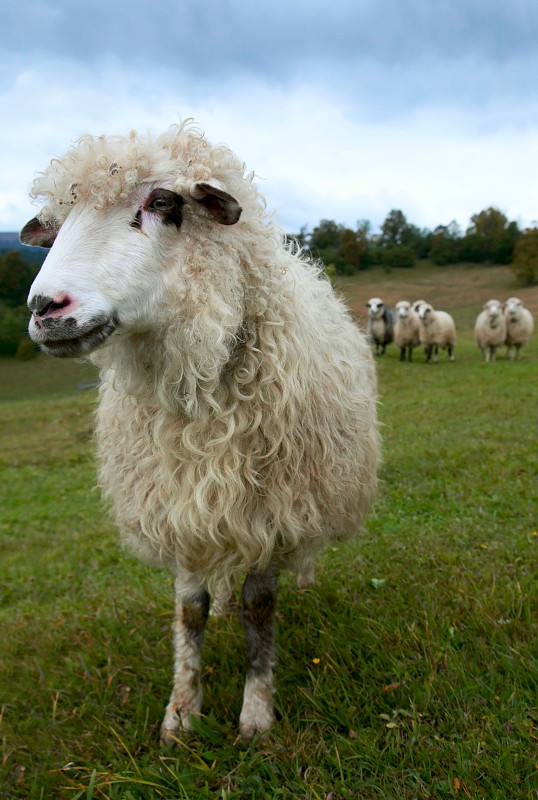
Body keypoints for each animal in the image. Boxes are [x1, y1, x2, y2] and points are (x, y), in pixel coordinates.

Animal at [22, 123, 382, 744]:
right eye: (58, 221)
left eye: (164, 202)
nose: (46, 308)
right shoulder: (179, 500)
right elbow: (190, 611)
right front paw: (181, 714)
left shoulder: (272, 508)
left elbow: (260, 607)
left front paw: (256, 717)